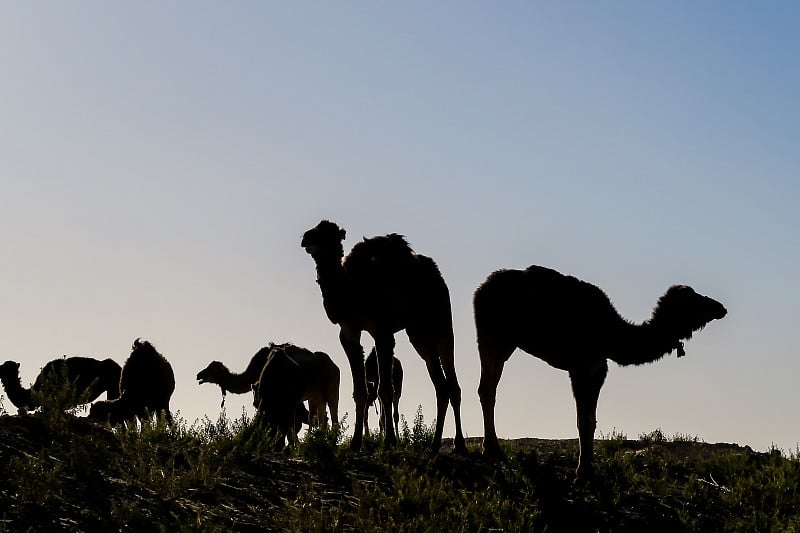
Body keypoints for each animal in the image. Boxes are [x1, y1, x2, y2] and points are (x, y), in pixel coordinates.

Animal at [199, 340, 340, 428]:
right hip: (316, 395)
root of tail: (334, 366)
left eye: (211, 369)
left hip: (332, 389)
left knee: (332, 416)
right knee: (321, 418)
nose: (198, 375)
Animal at [302, 218, 468, 450]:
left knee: (452, 382)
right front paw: (356, 443)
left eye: (329, 233)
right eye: (315, 228)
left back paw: (459, 444)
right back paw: (434, 445)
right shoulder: (349, 332)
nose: (306, 238)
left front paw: (389, 441)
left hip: (441, 323)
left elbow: (385, 390)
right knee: (441, 385)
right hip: (417, 334)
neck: (351, 288)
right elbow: (360, 391)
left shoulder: (382, 330)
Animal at [472, 264, 728, 480]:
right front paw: (582, 473)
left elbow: (591, 420)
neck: (612, 335)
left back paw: (491, 447)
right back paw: (492, 449)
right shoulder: (582, 366)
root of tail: (482, 287)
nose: (720, 308)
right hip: (492, 335)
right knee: (487, 389)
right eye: (694, 300)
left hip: (503, 341)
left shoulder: (597, 368)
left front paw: (588, 470)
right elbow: (583, 421)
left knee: (488, 387)